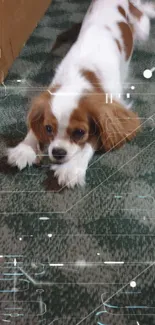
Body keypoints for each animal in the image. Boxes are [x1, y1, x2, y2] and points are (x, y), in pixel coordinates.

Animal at [7, 0, 155, 187]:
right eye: (48, 128)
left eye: (79, 132)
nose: (58, 152)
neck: (81, 75)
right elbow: (34, 127)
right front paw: (25, 148)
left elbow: (92, 140)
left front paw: (72, 168)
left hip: (143, 28)